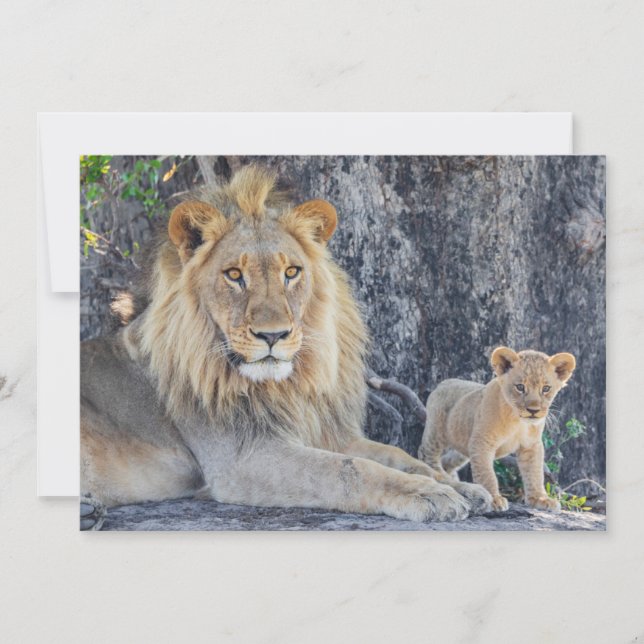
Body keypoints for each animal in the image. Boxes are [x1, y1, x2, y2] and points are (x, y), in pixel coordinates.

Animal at [80, 165, 492, 530]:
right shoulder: (243, 459)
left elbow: (396, 455)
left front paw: (462, 488)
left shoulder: (325, 433)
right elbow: (349, 469)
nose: (273, 335)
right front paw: (429, 494)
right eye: (234, 275)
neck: (286, 387)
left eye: (291, 272)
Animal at [418, 347, 576, 512]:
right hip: (436, 432)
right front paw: (493, 499)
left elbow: (535, 473)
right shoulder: (482, 443)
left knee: (448, 460)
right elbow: (486, 474)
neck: (517, 421)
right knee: (426, 454)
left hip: (462, 445)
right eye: (520, 387)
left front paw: (540, 499)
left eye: (546, 388)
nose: (533, 410)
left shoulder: (531, 446)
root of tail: (443, 382)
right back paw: (439, 475)